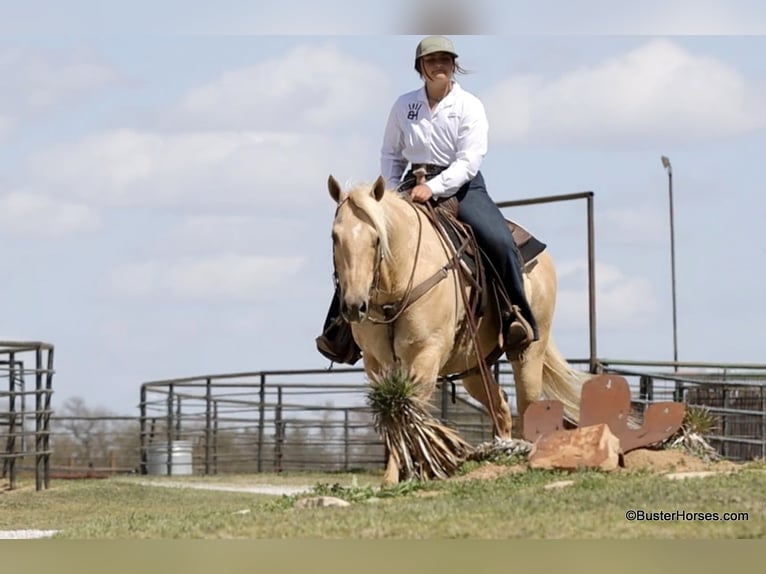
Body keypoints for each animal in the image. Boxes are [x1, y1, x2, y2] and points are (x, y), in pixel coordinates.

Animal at [327, 174, 591, 485]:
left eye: (376, 238)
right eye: (335, 237)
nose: (354, 306)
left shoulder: (427, 354)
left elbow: (409, 409)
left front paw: (413, 472)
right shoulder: (376, 362)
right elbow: (392, 411)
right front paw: (393, 478)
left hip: (529, 354)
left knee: (527, 404)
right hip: (473, 367)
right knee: (501, 406)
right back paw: (500, 453)